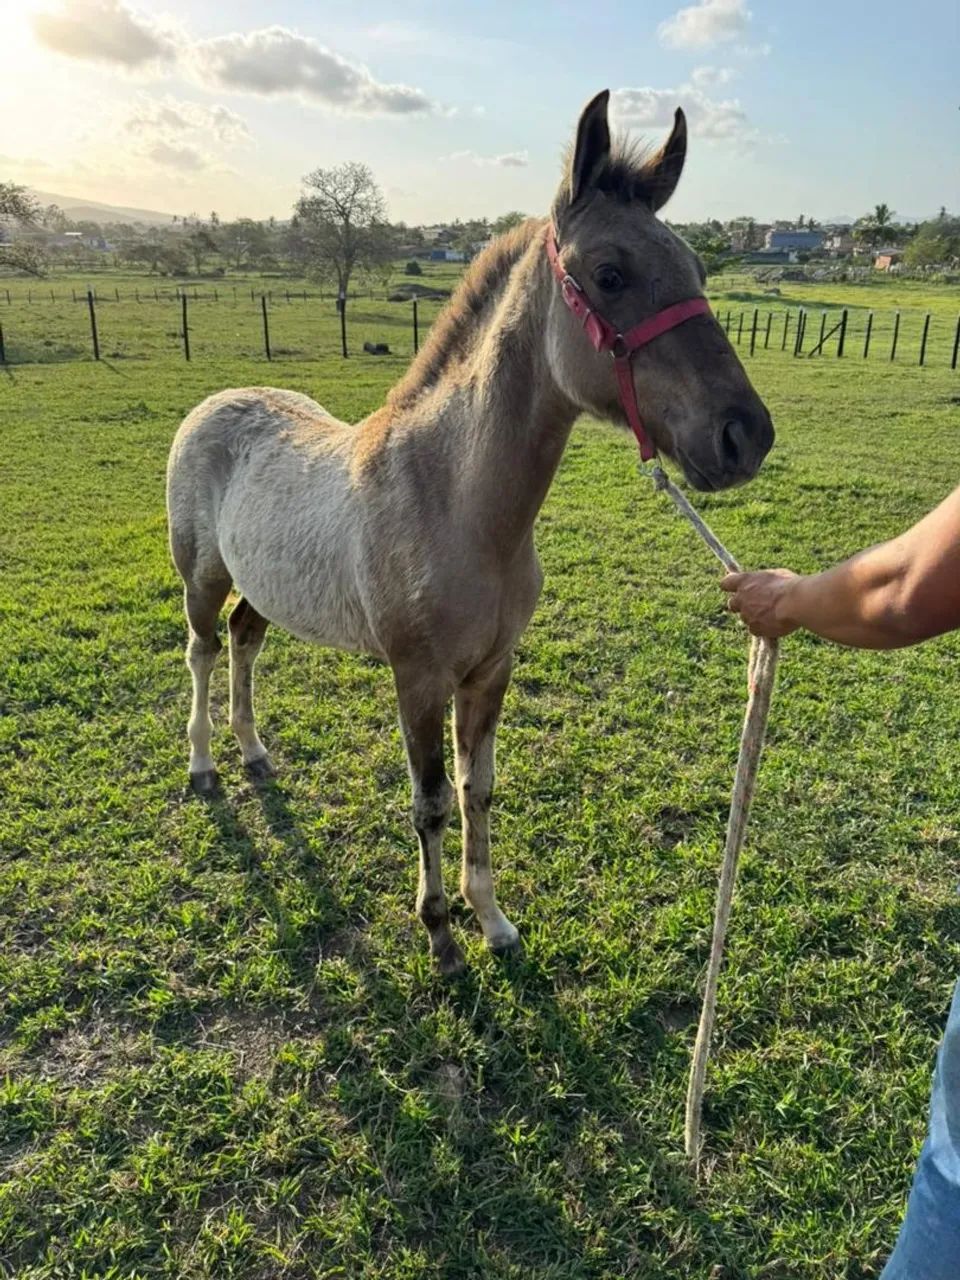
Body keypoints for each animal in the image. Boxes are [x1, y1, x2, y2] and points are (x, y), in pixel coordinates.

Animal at [166, 90, 774, 975]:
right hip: (202, 579)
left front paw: (491, 920)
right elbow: (427, 802)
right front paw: (441, 935)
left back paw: (253, 752)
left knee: (245, 642)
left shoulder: (491, 672)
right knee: (204, 650)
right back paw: (206, 762)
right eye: (610, 274)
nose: (744, 436)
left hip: (267, 589)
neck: (456, 505)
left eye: (697, 270)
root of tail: (216, 401)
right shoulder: (417, 680)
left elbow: (475, 790)